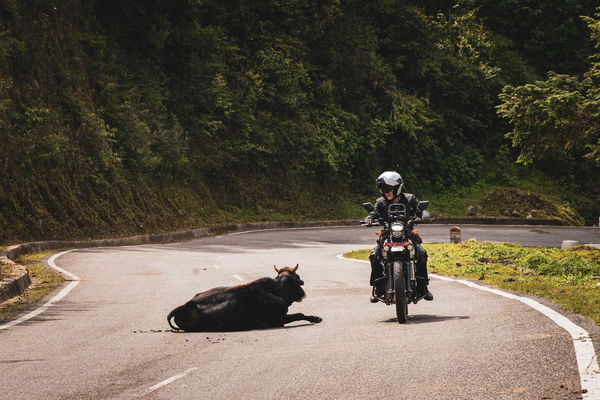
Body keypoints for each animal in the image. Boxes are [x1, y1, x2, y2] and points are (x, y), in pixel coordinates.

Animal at [166, 266, 322, 332]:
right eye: (298, 280)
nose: (303, 294)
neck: (276, 290)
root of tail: (185, 305)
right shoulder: (278, 320)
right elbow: (299, 314)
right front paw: (316, 318)